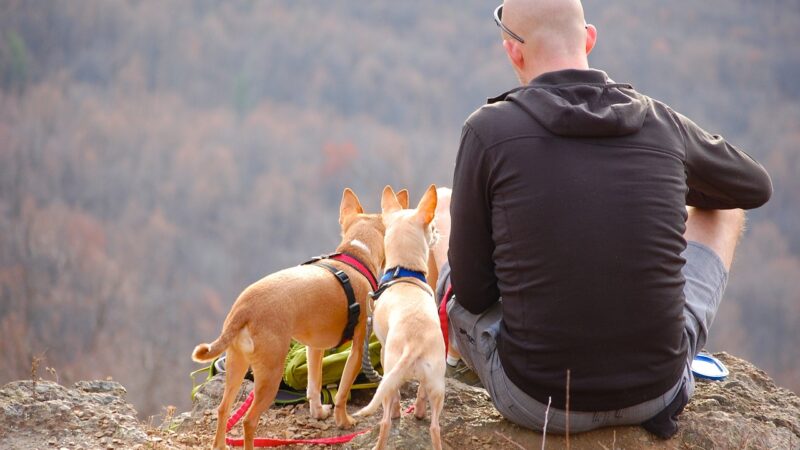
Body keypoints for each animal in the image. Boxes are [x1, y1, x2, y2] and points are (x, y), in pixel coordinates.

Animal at [191, 187, 384, 450]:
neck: (356, 256)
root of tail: (244, 309)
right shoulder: (357, 349)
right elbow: (343, 390)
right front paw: (344, 421)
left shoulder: (314, 347)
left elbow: (314, 384)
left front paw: (318, 412)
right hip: (270, 374)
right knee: (249, 421)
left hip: (236, 364)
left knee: (223, 409)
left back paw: (220, 444)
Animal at [354, 185, 446, 450]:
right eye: (432, 228)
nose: (438, 233)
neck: (403, 272)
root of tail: (414, 345)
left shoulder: (384, 351)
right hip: (437, 382)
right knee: (434, 425)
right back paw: (422, 417)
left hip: (391, 368)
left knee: (386, 418)